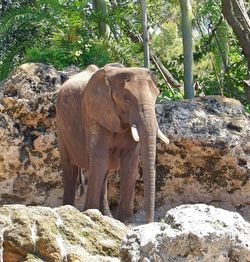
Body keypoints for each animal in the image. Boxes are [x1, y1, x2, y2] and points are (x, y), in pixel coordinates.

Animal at [55, 63, 169, 223]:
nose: (149, 222)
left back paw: (107, 216)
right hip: (61, 126)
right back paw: (68, 210)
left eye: (157, 96)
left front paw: (125, 222)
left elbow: (130, 161)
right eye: (126, 98)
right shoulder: (93, 115)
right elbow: (99, 158)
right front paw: (90, 214)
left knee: (104, 172)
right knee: (71, 169)